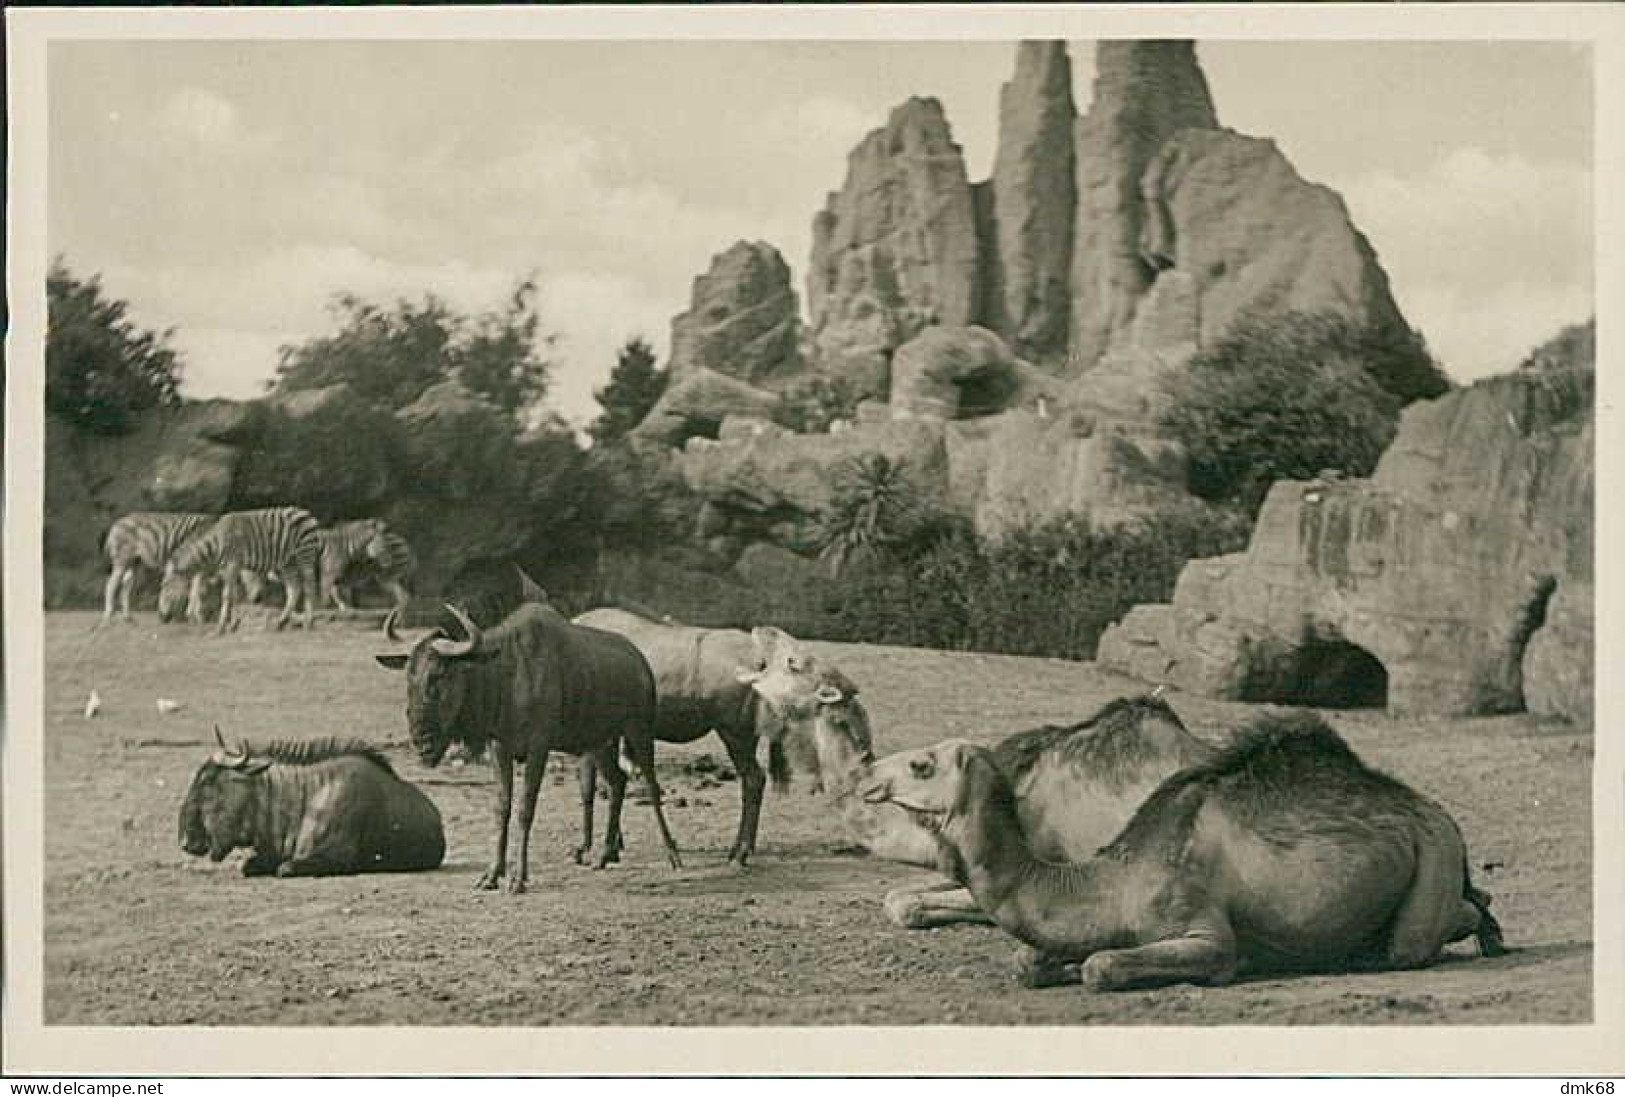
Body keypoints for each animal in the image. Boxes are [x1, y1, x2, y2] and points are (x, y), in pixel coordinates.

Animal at [166, 507, 321, 633]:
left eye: (165, 586)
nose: (164, 617)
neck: (216, 544)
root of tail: (306, 512)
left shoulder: (232, 564)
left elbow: (228, 595)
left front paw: (222, 626)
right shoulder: (227, 568)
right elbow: (234, 595)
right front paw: (233, 624)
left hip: (304, 553)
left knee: (310, 586)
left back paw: (308, 622)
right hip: (288, 561)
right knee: (294, 588)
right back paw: (280, 622)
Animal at [858, 711, 1501, 994]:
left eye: (922, 765)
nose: (866, 774)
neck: (1110, 881)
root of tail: (1438, 815)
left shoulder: (1202, 930)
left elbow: (1102, 966)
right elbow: (1031, 960)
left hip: (1434, 855)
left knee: (1420, 937)